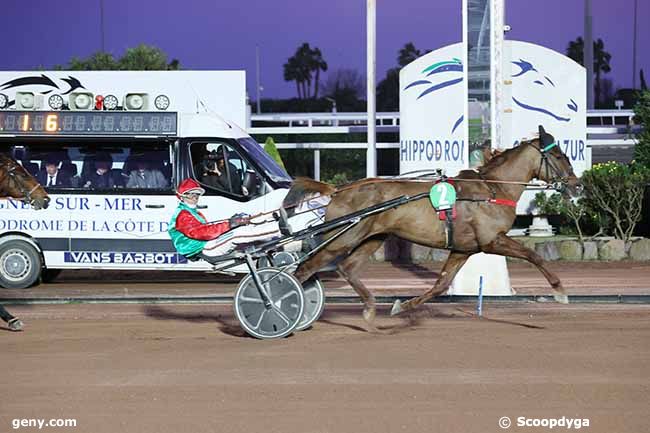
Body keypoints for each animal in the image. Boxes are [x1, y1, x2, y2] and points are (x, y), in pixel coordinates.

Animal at [282, 125, 576, 328]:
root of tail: (338, 190)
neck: (492, 189)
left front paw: (401, 307)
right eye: (559, 155)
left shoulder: (464, 249)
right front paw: (559, 291)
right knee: (306, 268)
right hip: (341, 238)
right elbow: (533, 254)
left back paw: (369, 308)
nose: (576, 184)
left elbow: (440, 285)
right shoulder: (492, 240)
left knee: (347, 268)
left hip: (372, 237)